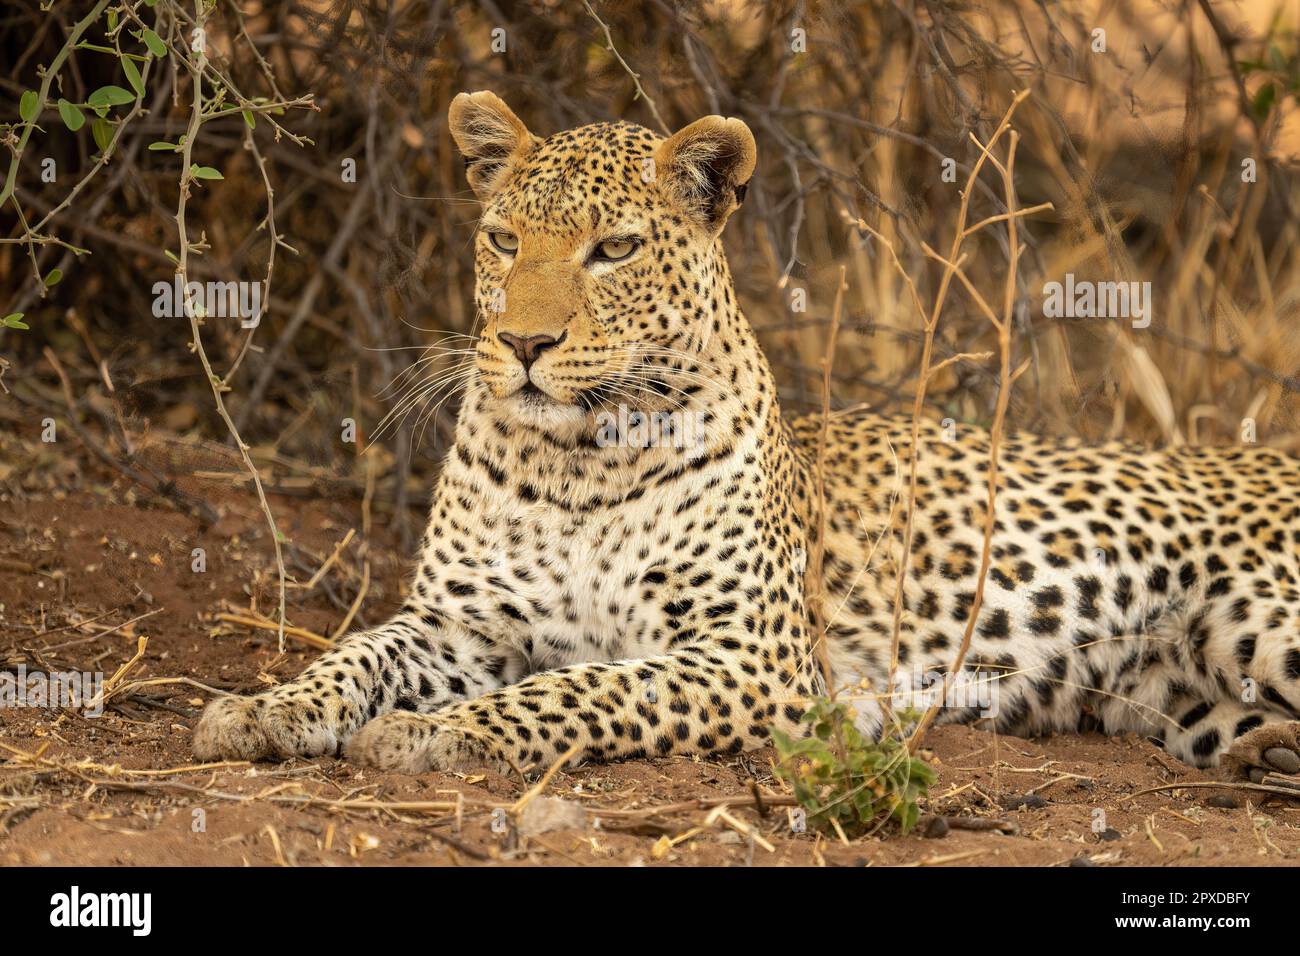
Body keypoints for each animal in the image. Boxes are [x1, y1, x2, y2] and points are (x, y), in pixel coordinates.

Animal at [194, 90, 1300, 786]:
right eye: (503, 240)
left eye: (614, 250)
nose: (522, 342)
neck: (577, 462)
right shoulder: (456, 623)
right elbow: (355, 653)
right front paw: (262, 709)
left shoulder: (747, 656)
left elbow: (581, 688)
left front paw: (432, 734)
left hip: (1266, 620)